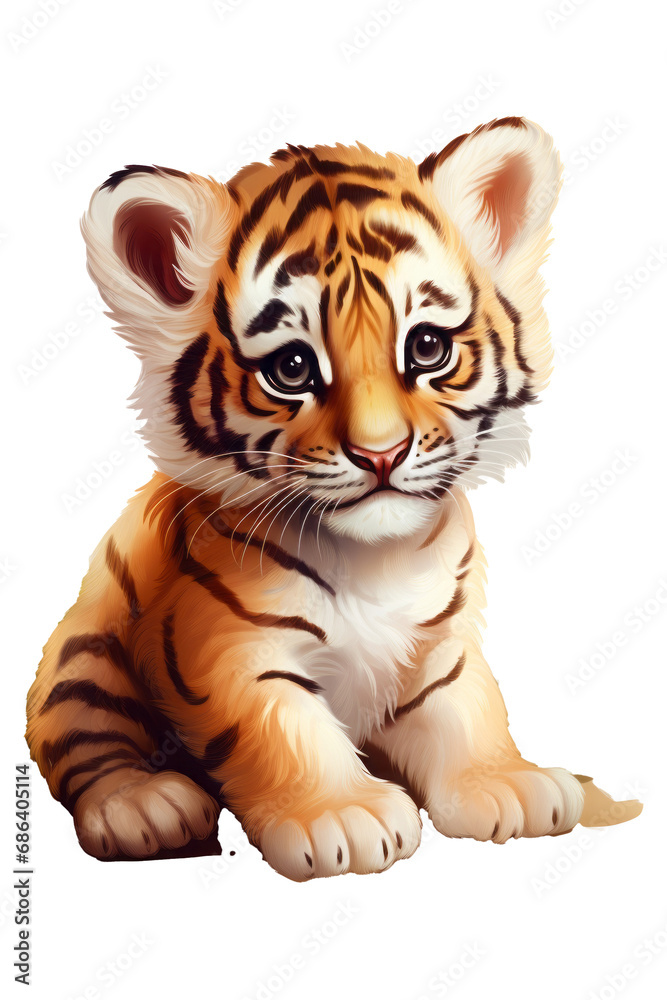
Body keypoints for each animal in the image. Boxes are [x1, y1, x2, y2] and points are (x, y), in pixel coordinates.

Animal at [25, 117, 640, 881]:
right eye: (292, 367)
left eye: (428, 348)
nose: (380, 453)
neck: (377, 557)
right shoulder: (228, 648)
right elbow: (280, 725)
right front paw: (340, 814)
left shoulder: (441, 642)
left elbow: (467, 705)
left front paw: (503, 781)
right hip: (86, 653)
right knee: (84, 738)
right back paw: (143, 806)